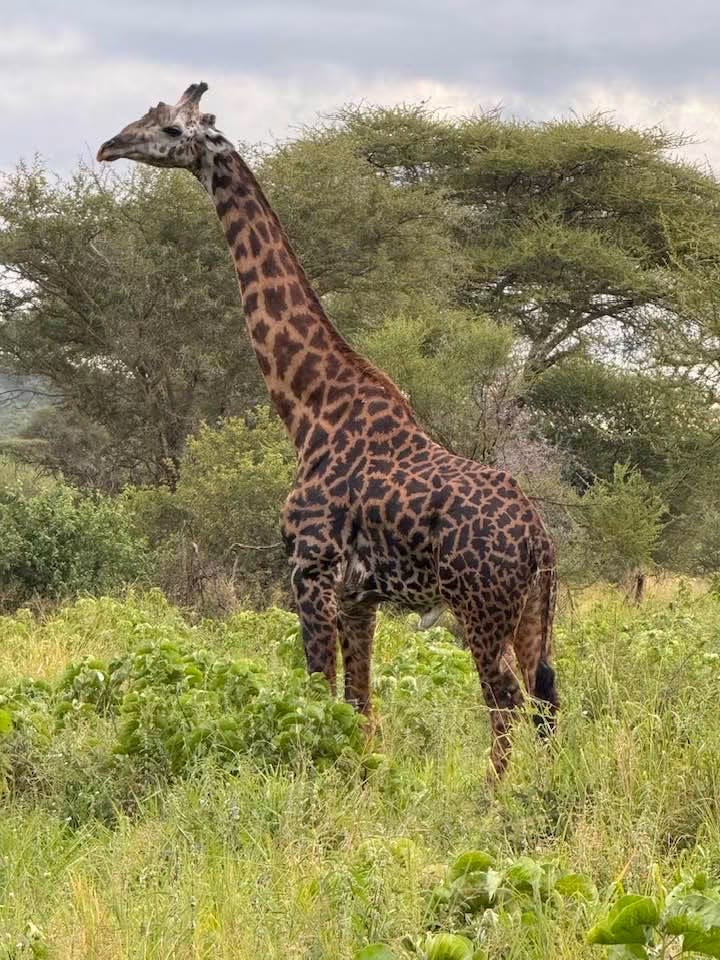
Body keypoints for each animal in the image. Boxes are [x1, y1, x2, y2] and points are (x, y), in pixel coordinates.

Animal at [97, 82, 559, 777]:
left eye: (173, 129)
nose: (109, 146)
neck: (309, 410)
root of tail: (538, 541)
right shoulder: (358, 595)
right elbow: (361, 706)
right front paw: (364, 780)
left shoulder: (308, 570)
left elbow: (319, 694)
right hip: (533, 611)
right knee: (546, 695)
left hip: (478, 607)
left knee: (504, 698)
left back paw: (494, 792)